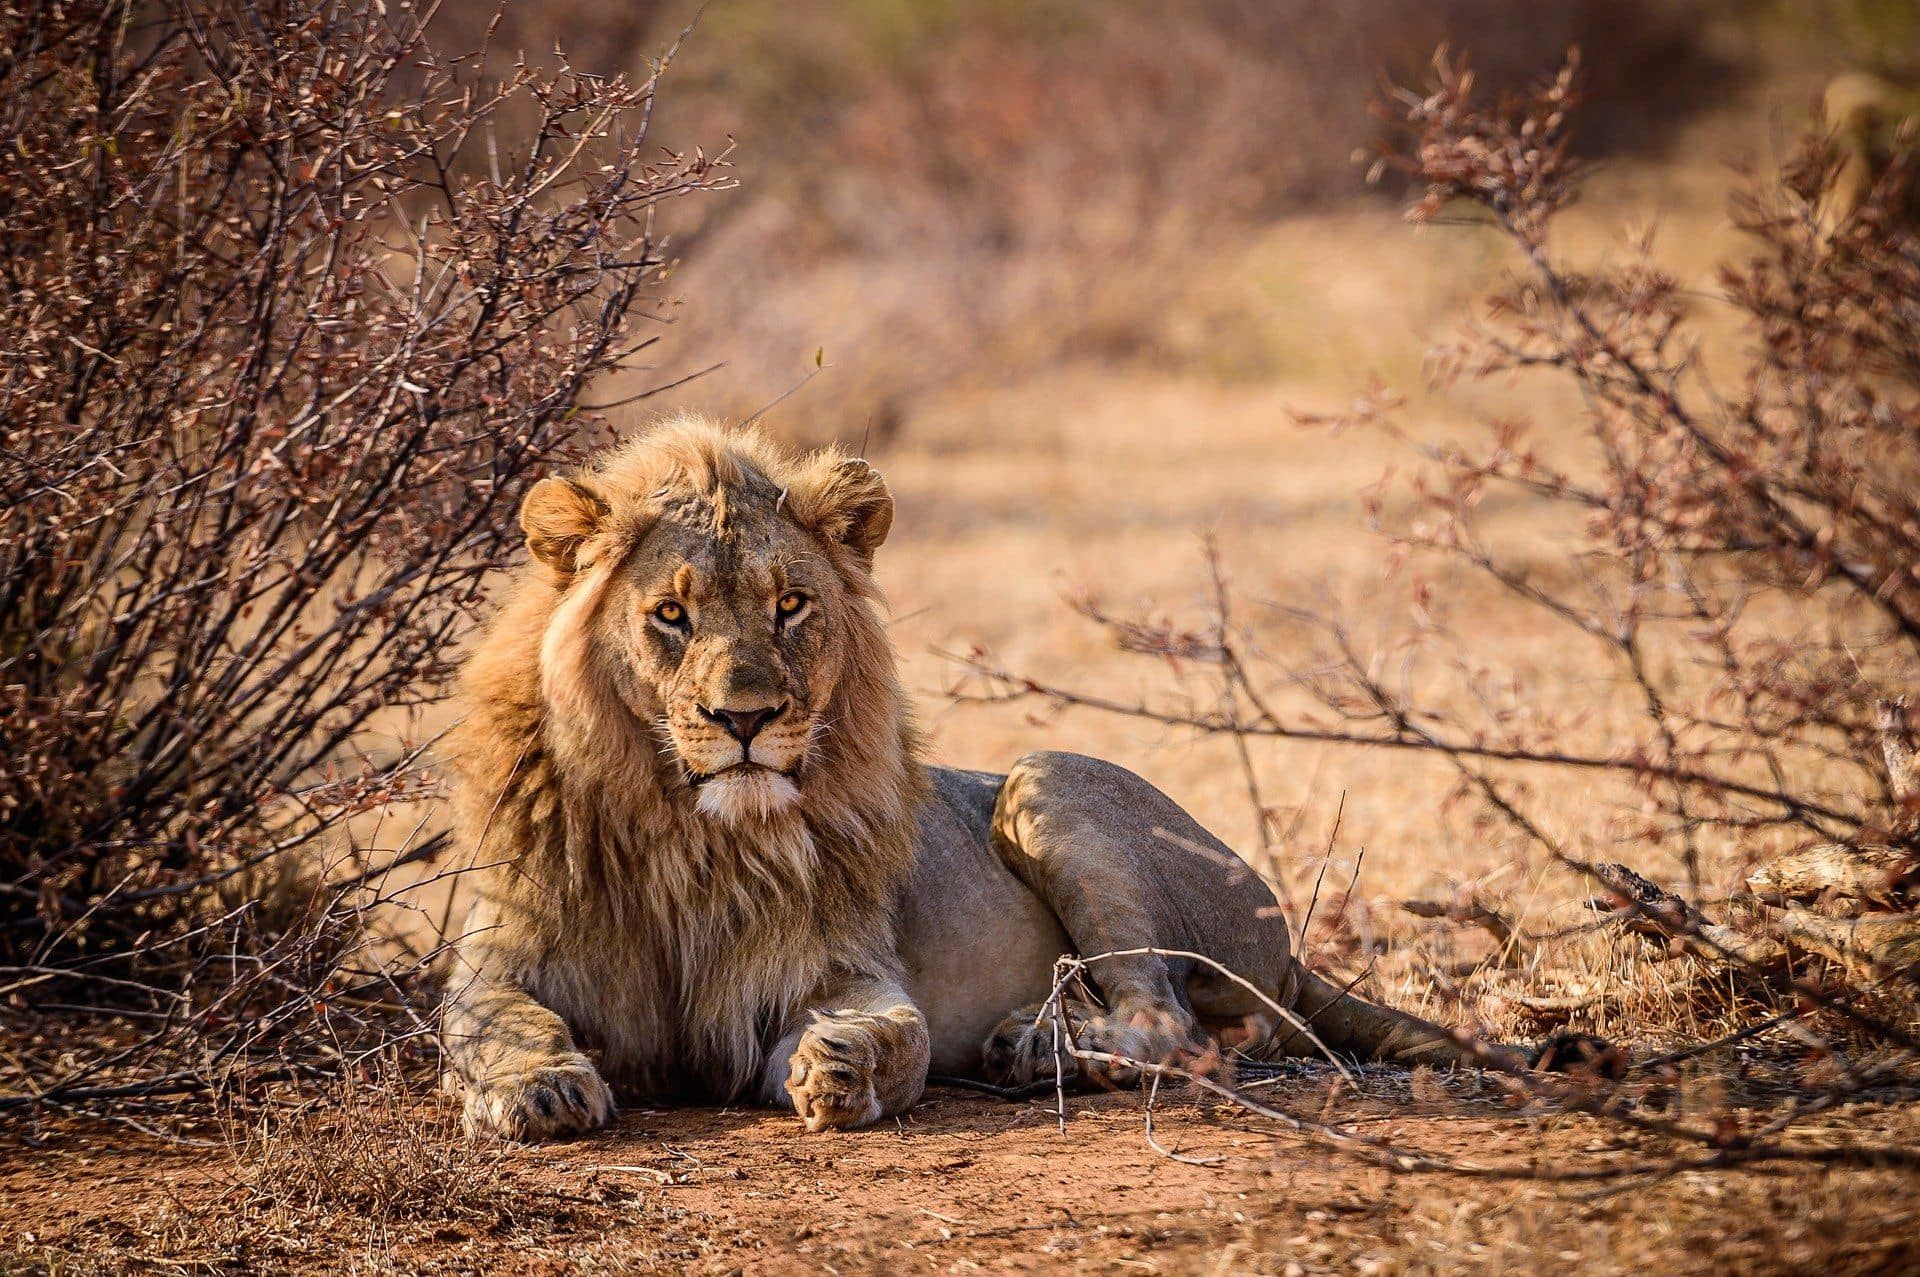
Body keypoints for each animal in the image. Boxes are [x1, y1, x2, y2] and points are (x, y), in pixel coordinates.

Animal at [445, 416, 1559, 1136]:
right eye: (670, 615)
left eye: (791, 604)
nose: (746, 719)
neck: (689, 831)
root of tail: (1289, 947)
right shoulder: (497, 955)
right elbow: (494, 1021)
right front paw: (541, 1089)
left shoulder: (834, 968)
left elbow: (893, 1029)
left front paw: (841, 1066)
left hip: (1045, 780)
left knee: (1176, 1024)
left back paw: (1038, 1046)